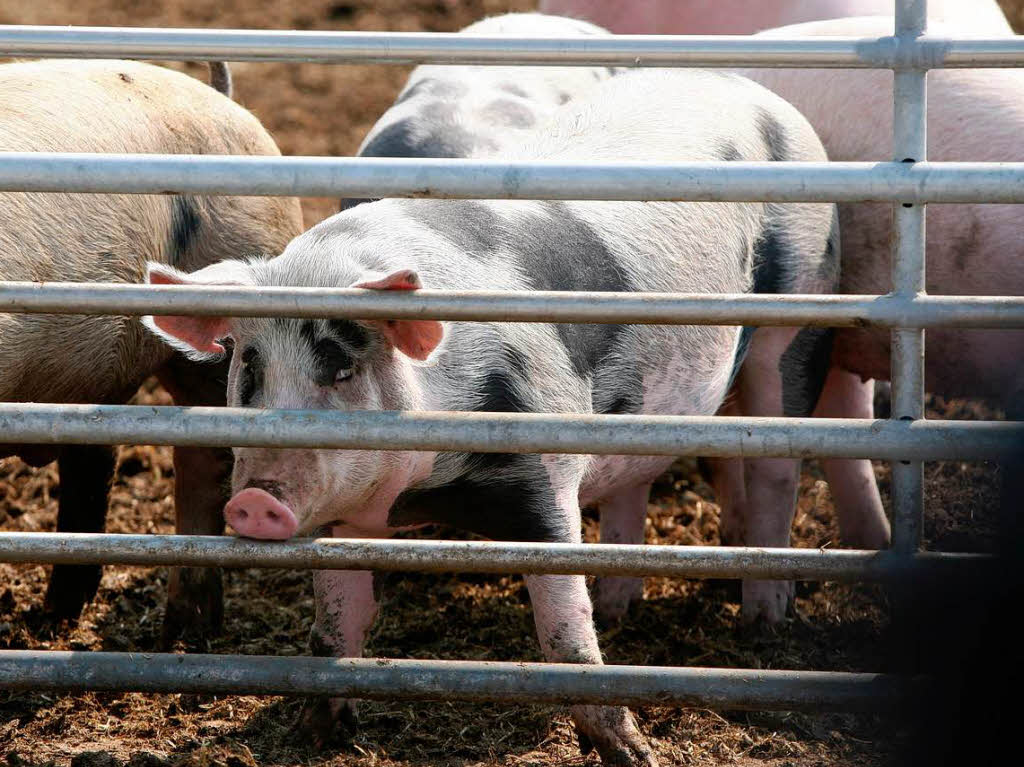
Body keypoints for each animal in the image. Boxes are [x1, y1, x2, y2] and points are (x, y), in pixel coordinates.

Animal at [0, 58, 303, 634]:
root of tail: (222, 98)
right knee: (97, 458)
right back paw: (60, 618)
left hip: (223, 336)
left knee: (202, 465)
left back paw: (186, 630)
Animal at [146, 61, 839, 765]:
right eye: (251, 368)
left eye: (342, 368)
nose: (255, 501)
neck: (427, 490)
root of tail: (741, 85)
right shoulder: (346, 514)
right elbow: (335, 625)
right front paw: (313, 734)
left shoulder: (544, 474)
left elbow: (565, 633)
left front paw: (634, 752)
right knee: (635, 479)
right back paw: (620, 605)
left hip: (801, 312)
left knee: (777, 469)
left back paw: (762, 623)